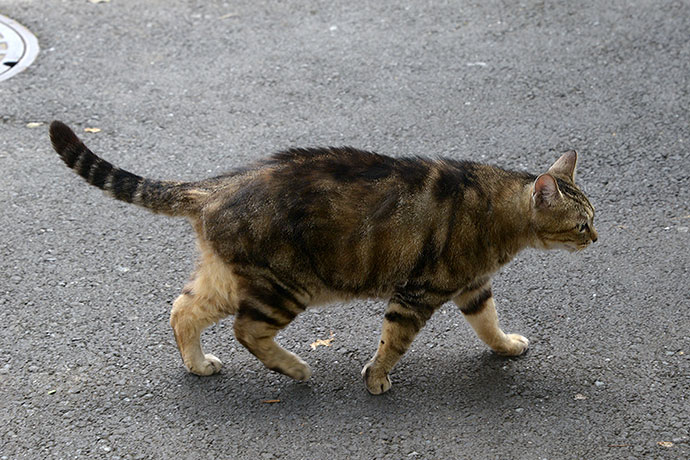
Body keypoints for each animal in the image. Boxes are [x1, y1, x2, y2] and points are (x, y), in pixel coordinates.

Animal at [49, 121, 596, 396]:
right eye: (581, 223)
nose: (597, 237)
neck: (497, 207)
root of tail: (214, 185)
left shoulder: (472, 287)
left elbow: (489, 324)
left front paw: (506, 346)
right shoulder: (418, 293)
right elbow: (394, 342)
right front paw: (376, 379)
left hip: (229, 280)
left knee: (182, 310)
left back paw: (199, 365)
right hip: (286, 287)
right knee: (246, 330)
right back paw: (293, 369)